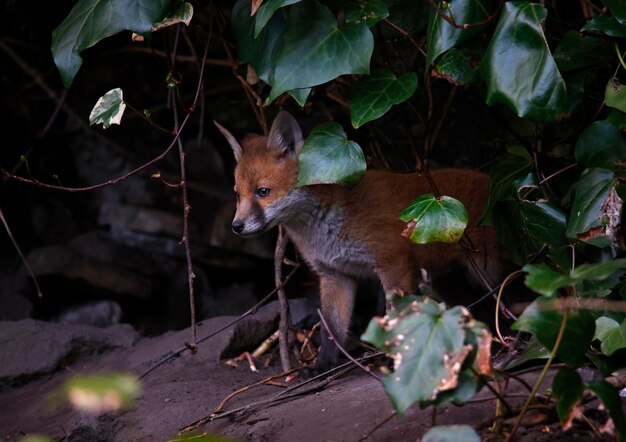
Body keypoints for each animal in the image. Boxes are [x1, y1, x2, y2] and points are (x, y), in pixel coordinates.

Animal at [217, 109, 504, 372]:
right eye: (237, 195)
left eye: (263, 192)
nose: (236, 227)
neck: (325, 230)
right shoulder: (335, 274)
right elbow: (332, 328)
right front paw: (323, 366)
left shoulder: (392, 261)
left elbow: (397, 315)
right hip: (448, 282)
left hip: (487, 272)